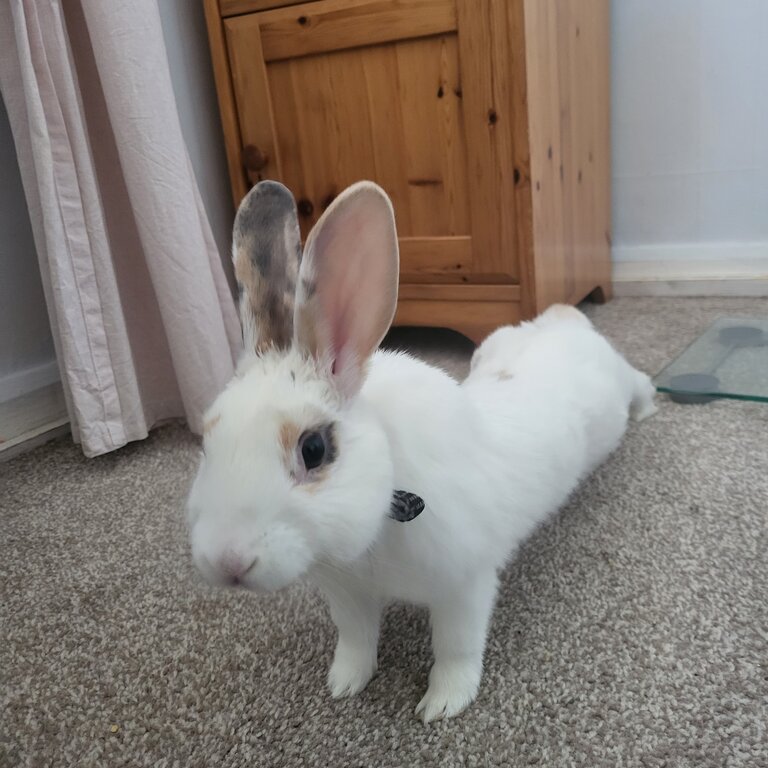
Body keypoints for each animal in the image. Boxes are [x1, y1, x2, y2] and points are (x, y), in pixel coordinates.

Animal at [184, 178, 656, 720]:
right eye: (206, 442)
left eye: (314, 449)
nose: (227, 562)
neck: (383, 518)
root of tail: (565, 322)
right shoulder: (347, 594)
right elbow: (355, 641)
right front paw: (343, 684)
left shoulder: (463, 585)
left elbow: (456, 647)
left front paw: (443, 704)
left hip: (620, 383)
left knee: (642, 383)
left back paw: (649, 410)